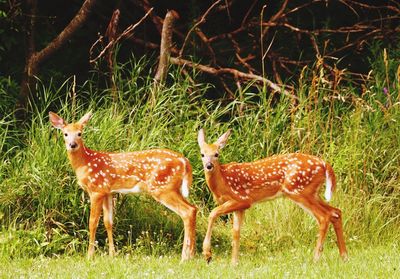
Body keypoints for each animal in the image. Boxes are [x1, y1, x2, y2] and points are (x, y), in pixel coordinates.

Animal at [50, 112, 197, 262]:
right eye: (65, 133)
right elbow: (108, 222)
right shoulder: (108, 191)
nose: (72, 144)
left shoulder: (96, 189)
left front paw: (89, 255)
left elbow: (92, 222)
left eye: (79, 133)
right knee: (193, 208)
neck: (85, 163)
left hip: (162, 188)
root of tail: (184, 161)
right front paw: (112, 254)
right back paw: (192, 255)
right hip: (173, 188)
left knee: (187, 212)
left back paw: (185, 257)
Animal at [198, 129, 348, 264]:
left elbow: (213, 213)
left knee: (324, 216)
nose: (209, 166)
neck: (223, 182)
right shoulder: (240, 208)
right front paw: (234, 263)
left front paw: (208, 254)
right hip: (312, 193)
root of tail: (324, 164)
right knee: (336, 212)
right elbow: (236, 232)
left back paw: (315, 259)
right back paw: (344, 256)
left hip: (299, 191)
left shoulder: (243, 199)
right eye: (202, 154)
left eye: (216, 154)